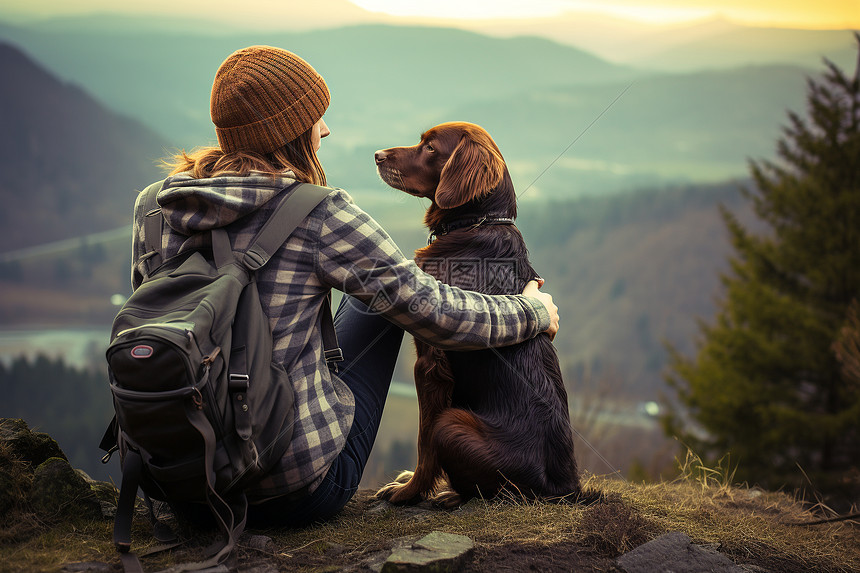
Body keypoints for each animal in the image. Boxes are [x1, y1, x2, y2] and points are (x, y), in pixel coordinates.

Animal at [372, 122, 580, 504]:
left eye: (430, 147)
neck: (474, 224)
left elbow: (424, 441)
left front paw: (410, 491)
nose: (378, 155)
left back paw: (451, 495)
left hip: (453, 423)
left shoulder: (430, 365)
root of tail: (563, 489)